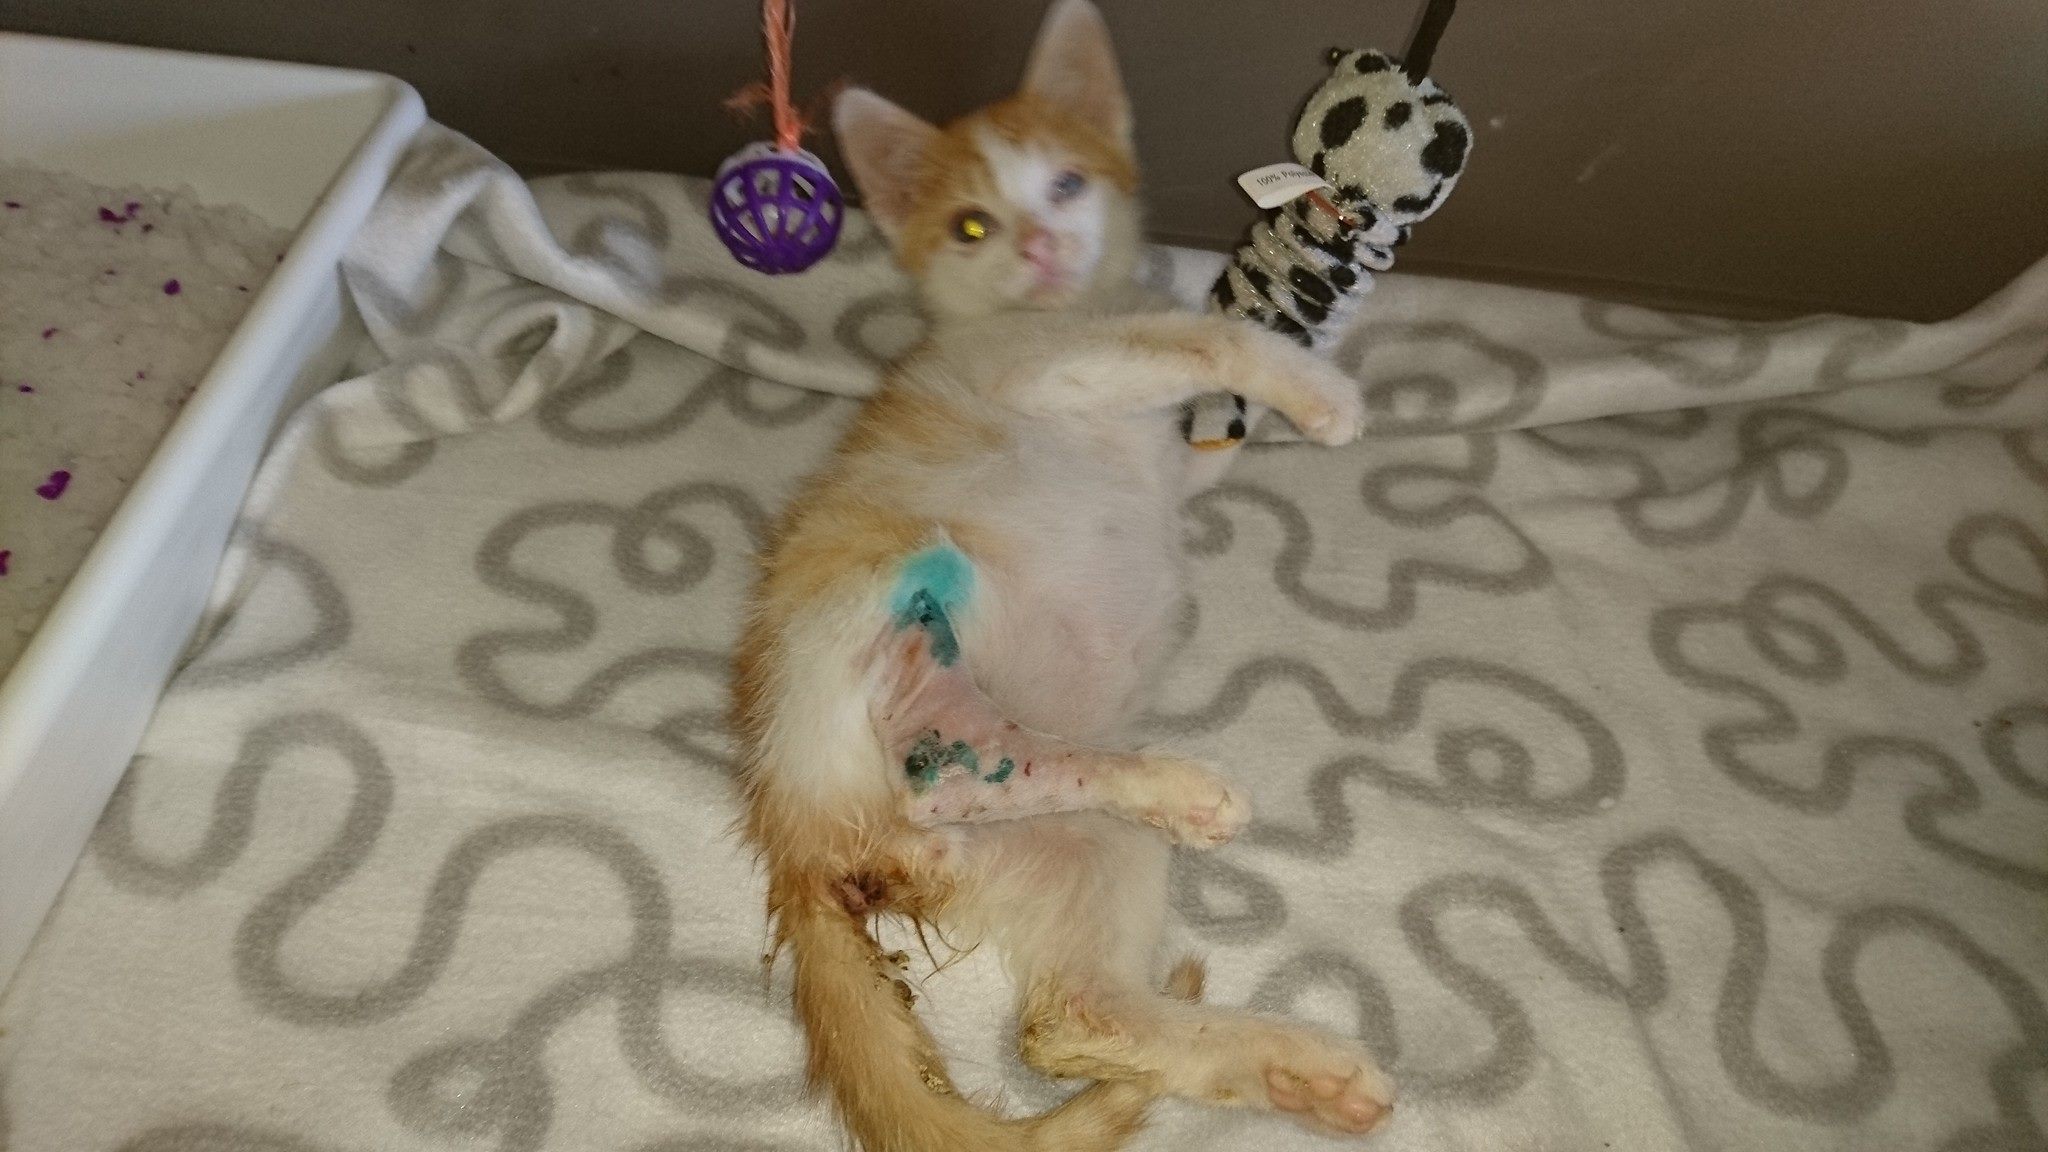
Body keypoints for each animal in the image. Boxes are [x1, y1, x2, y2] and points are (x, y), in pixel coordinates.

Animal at [731, 3, 1394, 1148]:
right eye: (971, 227)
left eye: (1067, 185)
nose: (1040, 246)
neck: (1051, 310)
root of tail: (799, 836)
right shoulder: (1040, 368)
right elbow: (1191, 332)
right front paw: (1314, 387)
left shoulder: (1156, 446)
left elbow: (1199, 453)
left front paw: (1263, 411)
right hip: (869, 606)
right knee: (948, 755)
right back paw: (1166, 786)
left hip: (1072, 850)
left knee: (1066, 1019)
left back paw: (1294, 1069)